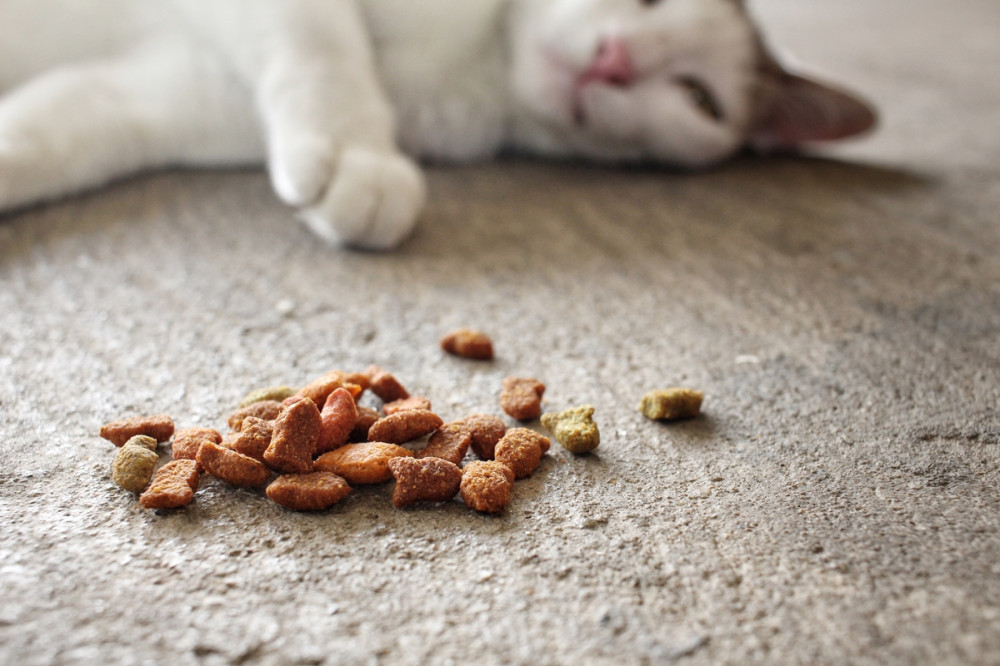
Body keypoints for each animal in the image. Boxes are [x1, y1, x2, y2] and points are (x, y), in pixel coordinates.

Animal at [0, 0, 876, 249]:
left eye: (700, 99)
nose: (614, 60)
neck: (475, 61)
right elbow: (323, 40)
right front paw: (360, 154)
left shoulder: (175, 92)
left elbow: (55, 131)